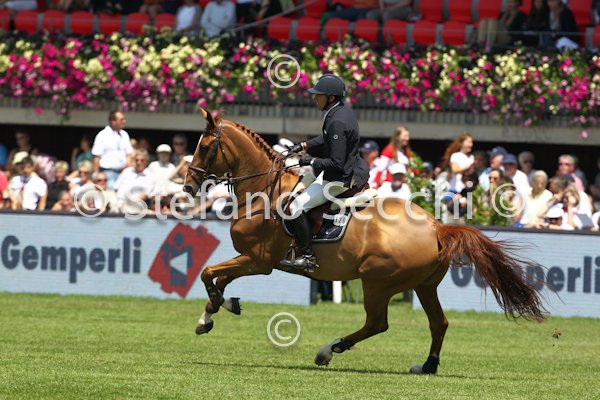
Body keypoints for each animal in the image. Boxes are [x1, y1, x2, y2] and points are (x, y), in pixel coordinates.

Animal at [182, 109, 545, 374]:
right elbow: (218, 280)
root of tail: (436, 227)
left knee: (377, 323)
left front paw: (213, 311)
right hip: (424, 285)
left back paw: (328, 351)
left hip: (377, 282)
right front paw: (213, 313)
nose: (188, 186)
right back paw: (426, 366)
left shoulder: (259, 261)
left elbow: (208, 273)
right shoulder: (249, 260)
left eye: (204, 147)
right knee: (438, 322)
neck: (262, 192)